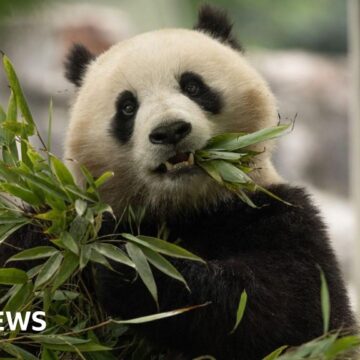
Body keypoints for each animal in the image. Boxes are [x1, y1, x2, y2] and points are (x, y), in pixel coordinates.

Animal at [0, 4, 354, 360]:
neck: (183, 208)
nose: (170, 131)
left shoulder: (279, 214)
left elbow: (290, 310)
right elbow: (26, 268)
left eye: (193, 86)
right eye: (127, 107)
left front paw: (128, 267)